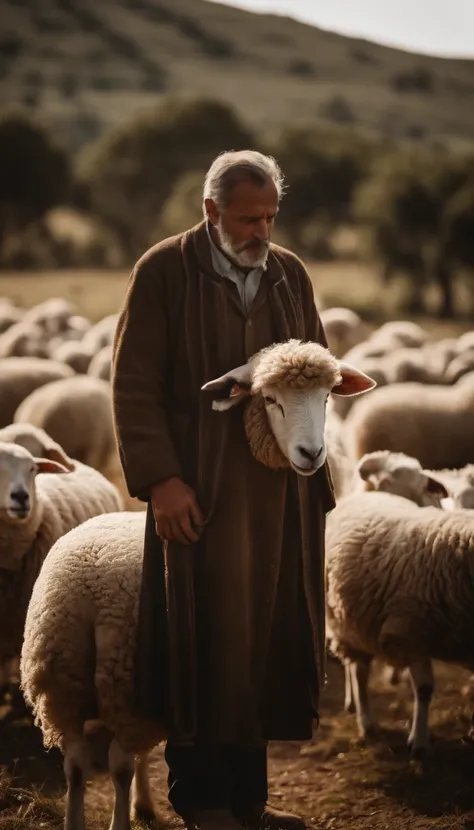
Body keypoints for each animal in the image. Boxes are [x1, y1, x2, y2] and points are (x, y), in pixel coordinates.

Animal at [326, 494, 474, 760]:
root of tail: (360, 495)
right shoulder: (410, 634)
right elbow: (424, 689)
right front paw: (419, 741)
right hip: (347, 621)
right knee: (359, 672)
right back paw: (365, 721)